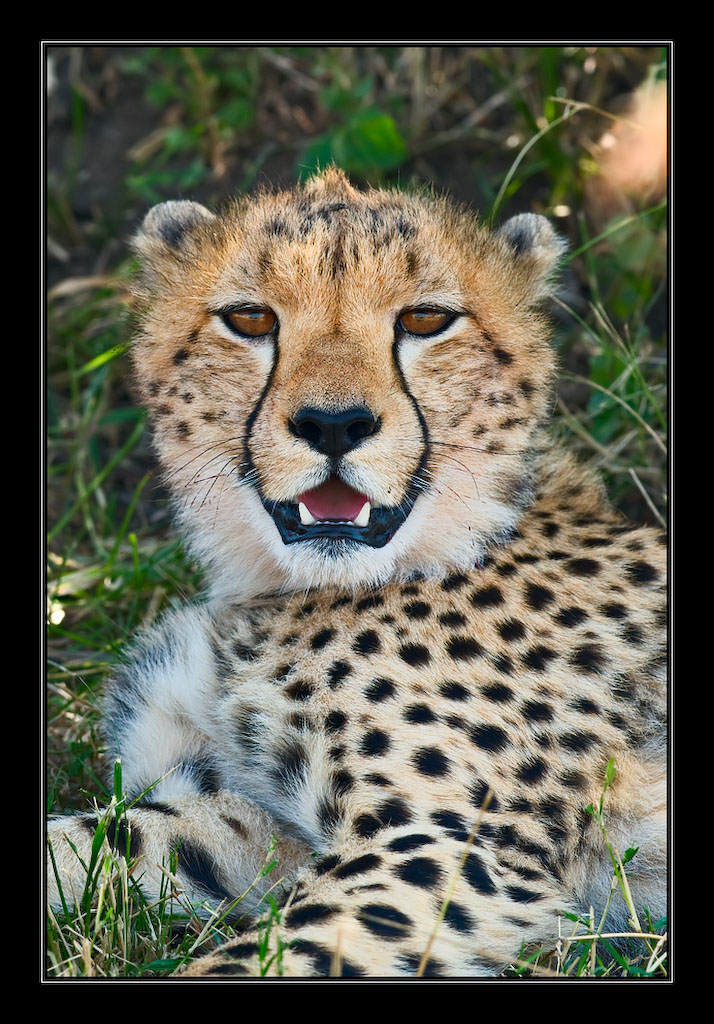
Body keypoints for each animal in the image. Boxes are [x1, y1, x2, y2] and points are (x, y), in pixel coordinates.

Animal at [47, 167, 667, 979]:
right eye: (250, 319)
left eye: (427, 319)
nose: (334, 424)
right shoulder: (254, 817)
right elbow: (106, 841)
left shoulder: (446, 849)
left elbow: (261, 956)